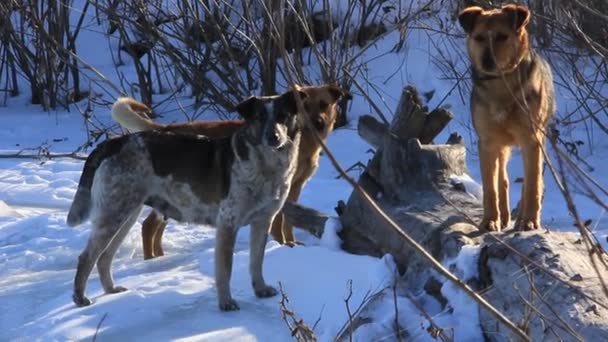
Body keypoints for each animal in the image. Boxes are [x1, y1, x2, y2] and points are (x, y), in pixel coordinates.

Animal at [66, 89, 306, 312]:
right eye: (259, 117)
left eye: (283, 116)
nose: (274, 137)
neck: (267, 167)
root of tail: (113, 142)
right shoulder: (228, 224)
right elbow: (225, 270)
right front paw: (226, 303)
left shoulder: (262, 221)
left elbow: (256, 261)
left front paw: (260, 289)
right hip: (113, 215)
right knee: (86, 257)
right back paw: (80, 298)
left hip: (125, 215)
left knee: (104, 257)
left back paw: (111, 290)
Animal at [113, 84, 352, 258]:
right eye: (304, 106)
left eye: (324, 104)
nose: (317, 123)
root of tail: (165, 128)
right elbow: (278, 222)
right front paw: (283, 244)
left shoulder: (294, 188)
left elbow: (288, 222)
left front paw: (290, 242)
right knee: (148, 226)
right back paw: (151, 260)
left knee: (154, 227)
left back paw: (159, 257)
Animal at [460, 4, 556, 231]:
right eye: (478, 38)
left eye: (502, 37)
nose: (487, 62)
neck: (500, 87)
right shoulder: (487, 141)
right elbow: (491, 187)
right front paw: (490, 220)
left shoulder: (532, 139)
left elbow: (532, 185)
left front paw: (529, 220)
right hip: (500, 145)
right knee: (502, 178)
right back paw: (503, 216)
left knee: (531, 179)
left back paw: (521, 218)